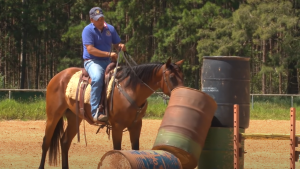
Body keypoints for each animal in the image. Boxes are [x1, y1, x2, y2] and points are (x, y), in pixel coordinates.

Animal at [38, 57, 184, 168]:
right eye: (171, 76)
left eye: (182, 76)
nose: (182, 91)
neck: (129, 89)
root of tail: (58, 76)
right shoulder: (117, 126)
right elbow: (117, 150)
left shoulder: (136, 125)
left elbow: (135, 149)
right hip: (53, 115)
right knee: (46, 142)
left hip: (74, 118)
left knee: (64, 142)